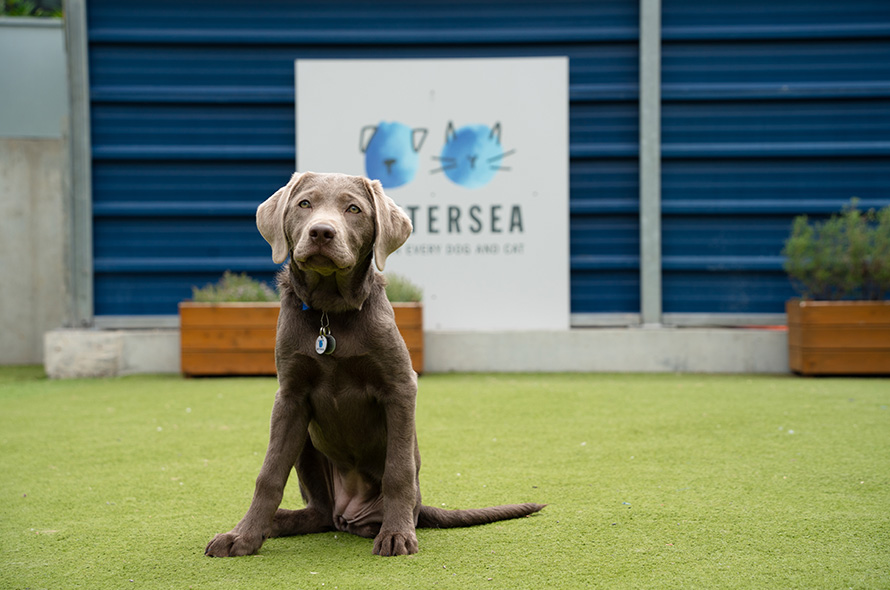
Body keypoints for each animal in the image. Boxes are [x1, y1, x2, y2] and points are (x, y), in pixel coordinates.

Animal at [206, 172, 540, 560]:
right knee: (319, 513)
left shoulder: (400, 386)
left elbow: (398, 470)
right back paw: (273, 524)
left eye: (354, 209)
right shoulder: (289, 395)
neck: (329, 314)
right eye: (304, 204)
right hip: (306, 441)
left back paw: (385, 525)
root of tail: (346, 513)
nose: (321, 232)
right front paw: (241, 536)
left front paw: (396, 535)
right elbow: (269, 473)